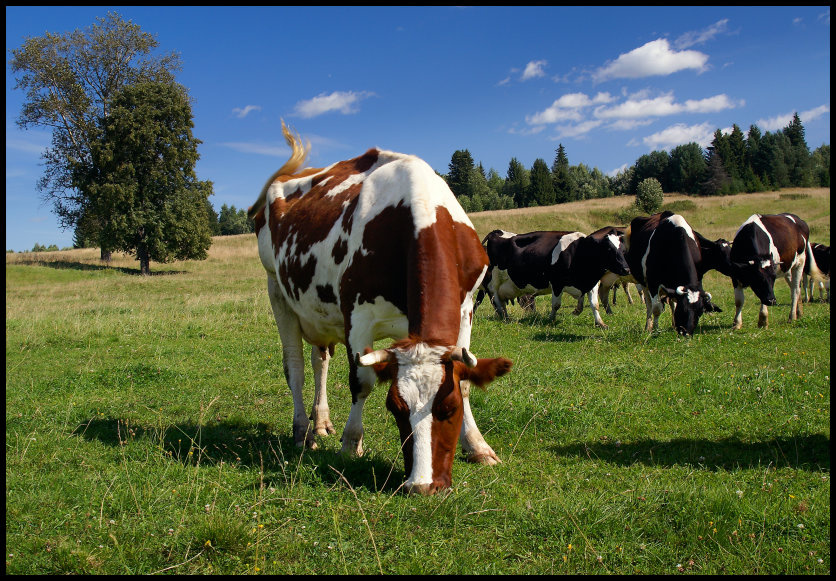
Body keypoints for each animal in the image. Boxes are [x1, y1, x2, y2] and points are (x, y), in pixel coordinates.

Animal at [248, 122, 512, 495]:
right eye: (396, 408)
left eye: (449, 409)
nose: (422, 485)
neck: (419, 210)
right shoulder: (357, 316)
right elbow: (361, 381)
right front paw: (350, 444)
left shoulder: (465, 310)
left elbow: (463, 381)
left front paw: (477, 446)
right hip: (277, 291)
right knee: (295, 368)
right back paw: (303, 432)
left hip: (319, 312)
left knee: (319, 362)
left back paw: (321, 421)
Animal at [475, 228, 630, 328]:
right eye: (609, 249)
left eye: (622, 250)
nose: (626, 269)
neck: (578, 251)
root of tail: (496, 232)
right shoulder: (557, 283)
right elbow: (556, 305)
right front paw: (551, 319)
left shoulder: (592, 283)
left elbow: (594, 304)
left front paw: (600, 323)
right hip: (493, 282)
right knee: (496, 300)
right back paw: (504, 317)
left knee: (500, 301)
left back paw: (505, 316)